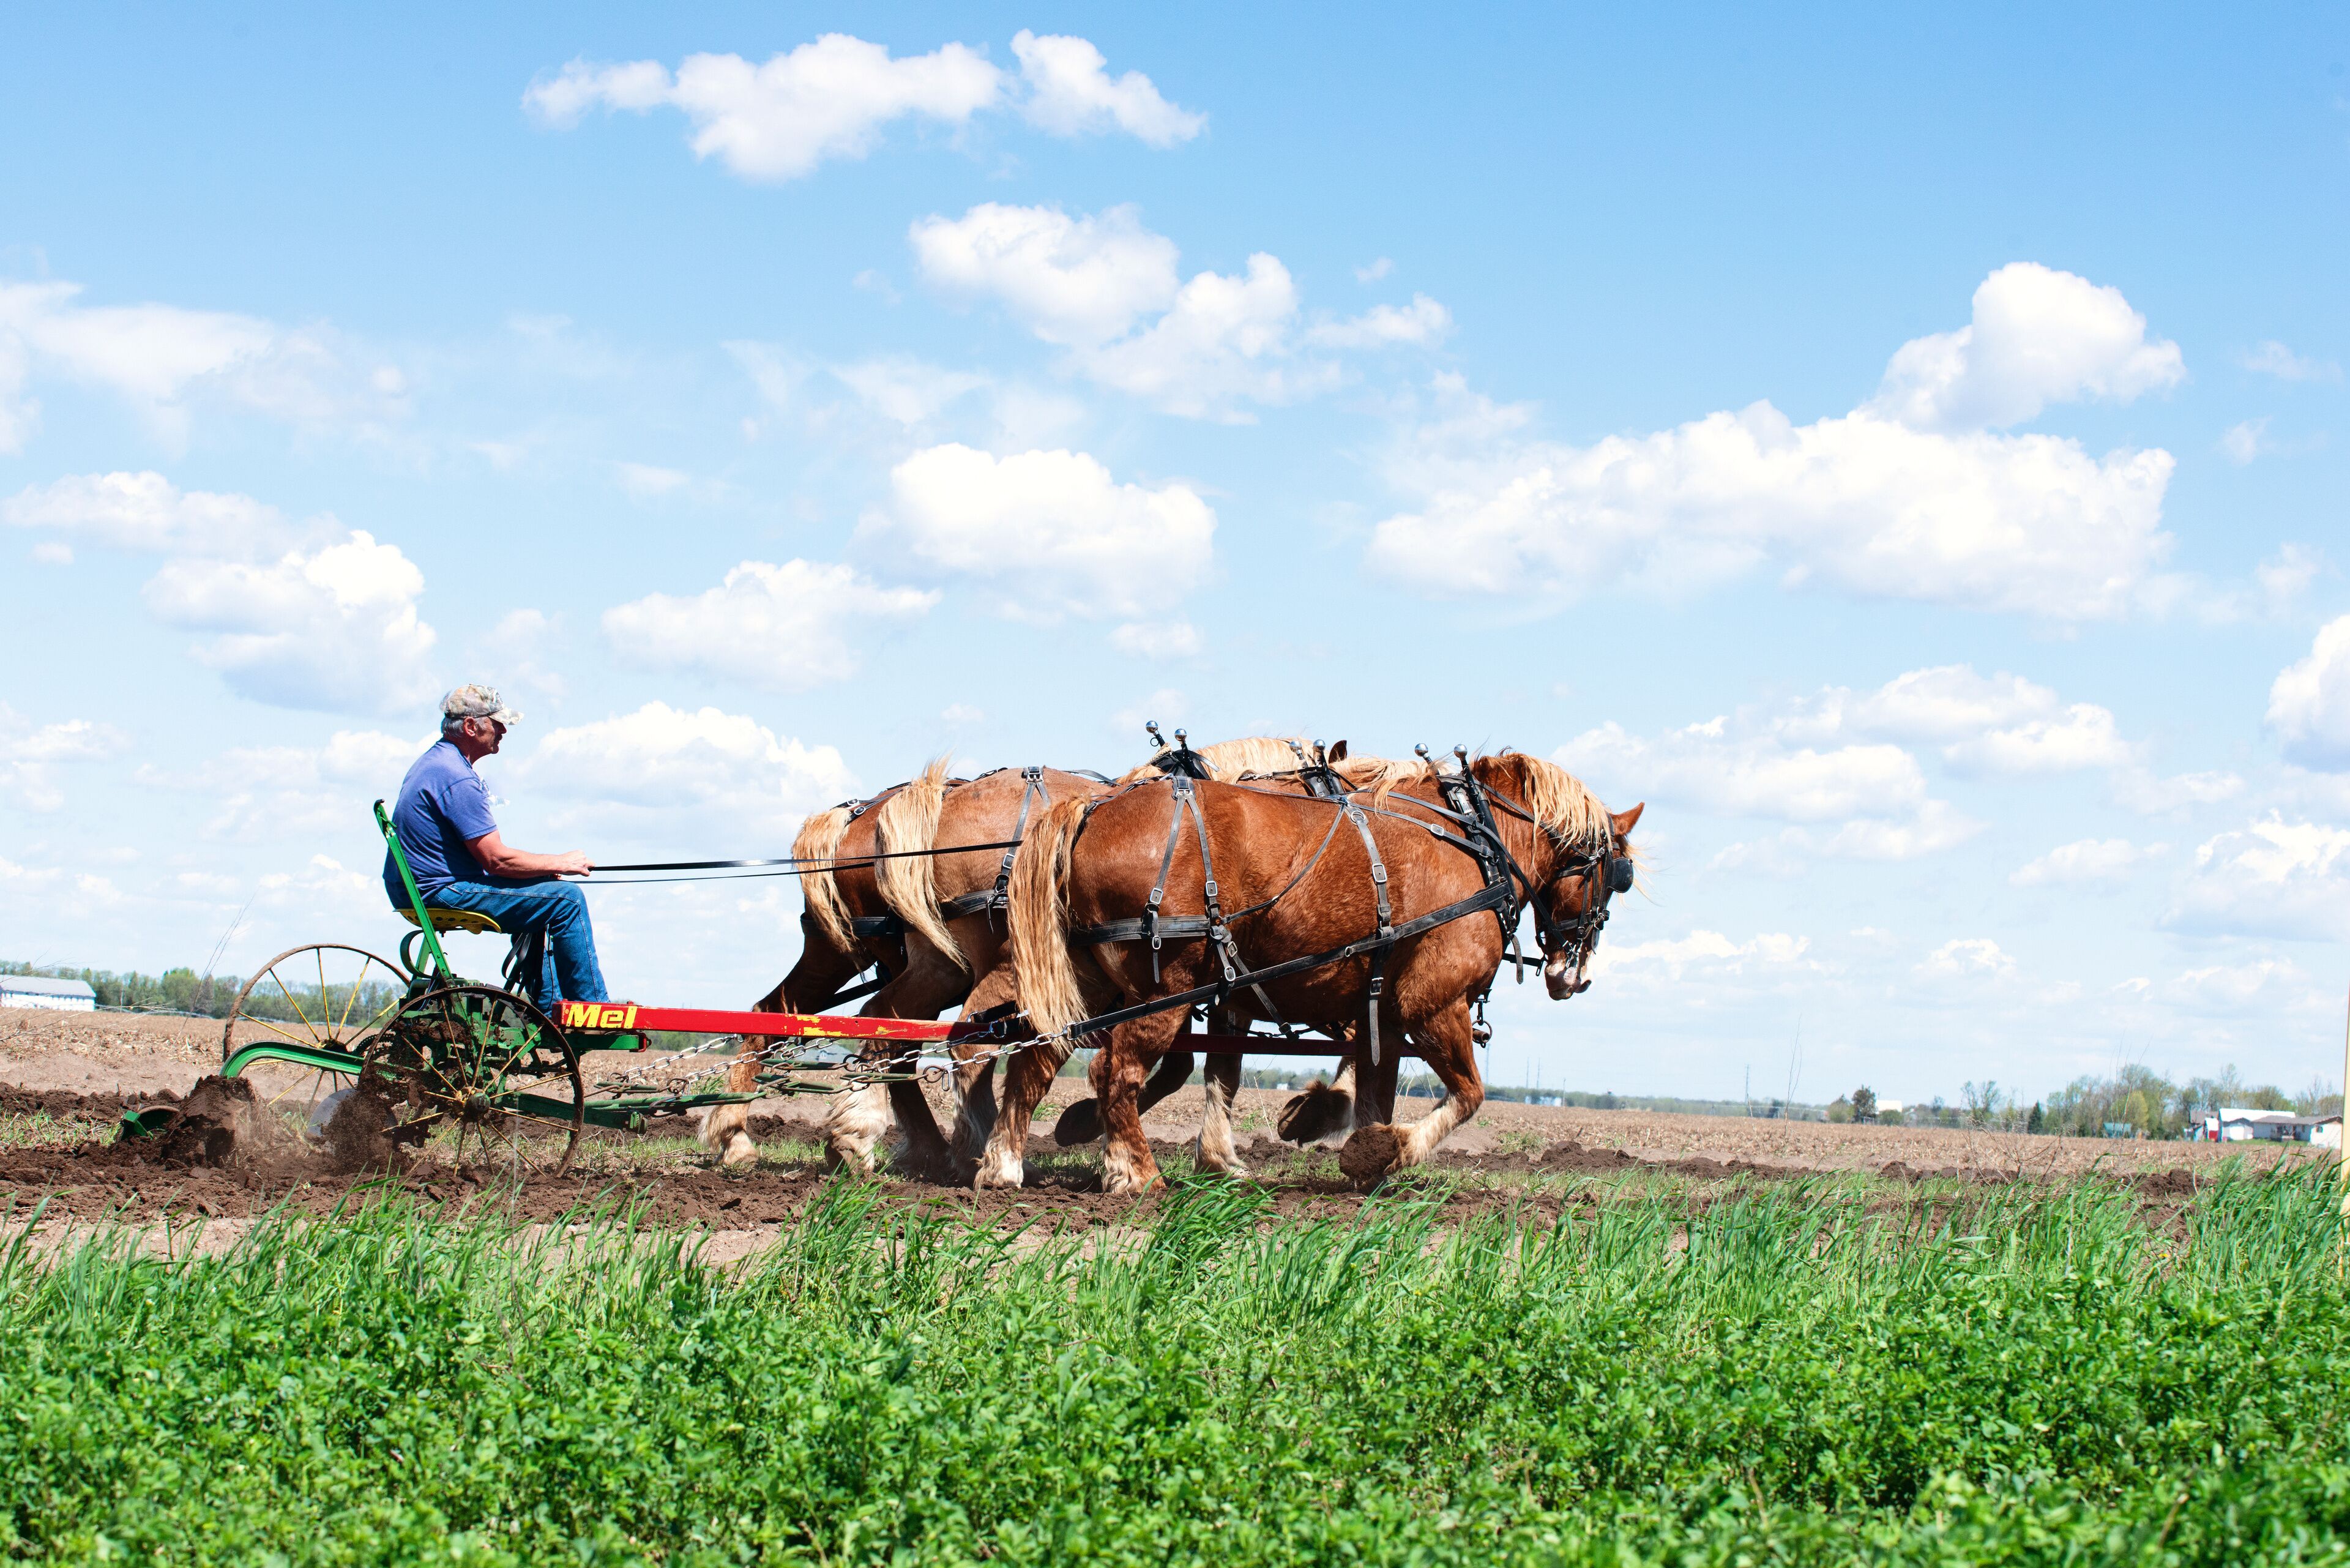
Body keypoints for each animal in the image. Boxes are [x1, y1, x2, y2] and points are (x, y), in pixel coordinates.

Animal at [1007, 751, 1642, 1193]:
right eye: (1617, 875)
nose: (1573, 976)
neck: (1474, 841)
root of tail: (1091, 810)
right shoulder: (1433, 1002)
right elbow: (1469, 1094)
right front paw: (1385, 1152)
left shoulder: (1379, 1012)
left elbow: (1370, 1091)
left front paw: (1363, 1156)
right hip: (1168, 987)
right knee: (1117, 1074)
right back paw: (1137, 1175)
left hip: (1085, 983)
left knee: (1040, 1058)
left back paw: (1006, 1164)